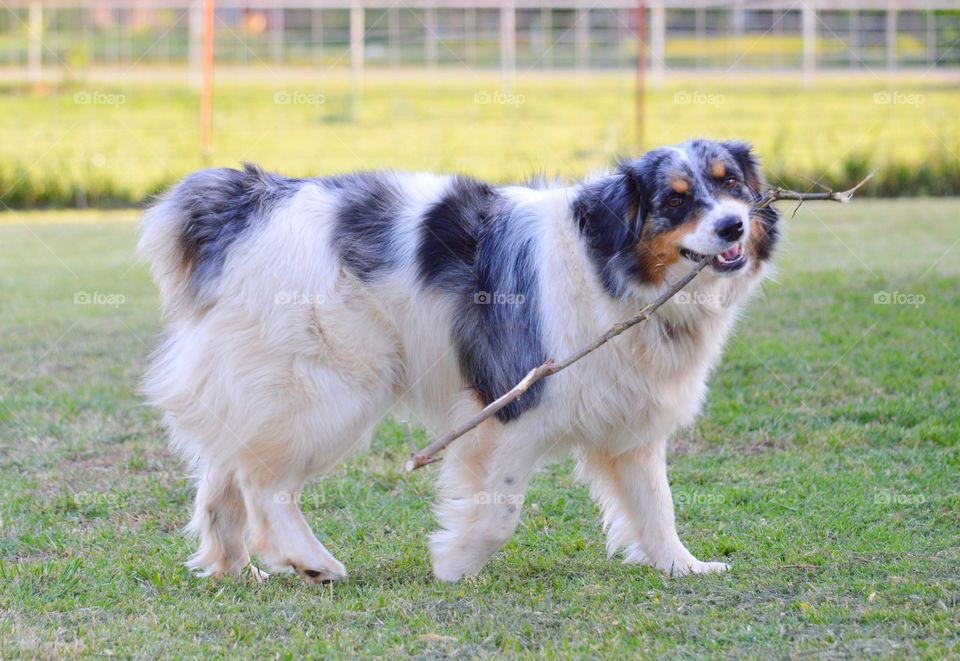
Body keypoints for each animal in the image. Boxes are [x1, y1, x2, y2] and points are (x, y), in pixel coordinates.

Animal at [137, 139, 780, 584]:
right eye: (675, 200)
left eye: (731, 185)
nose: (733, 225)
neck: (606, 267)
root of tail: (249, 200)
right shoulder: (511, 404)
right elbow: (499, 511)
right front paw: (456, 565)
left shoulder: (631, 427)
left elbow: (655, 506)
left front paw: (682, 566)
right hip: (331, 388)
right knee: (263, 482)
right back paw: (308, 559)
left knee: (225, 474)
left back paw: (235, 569)